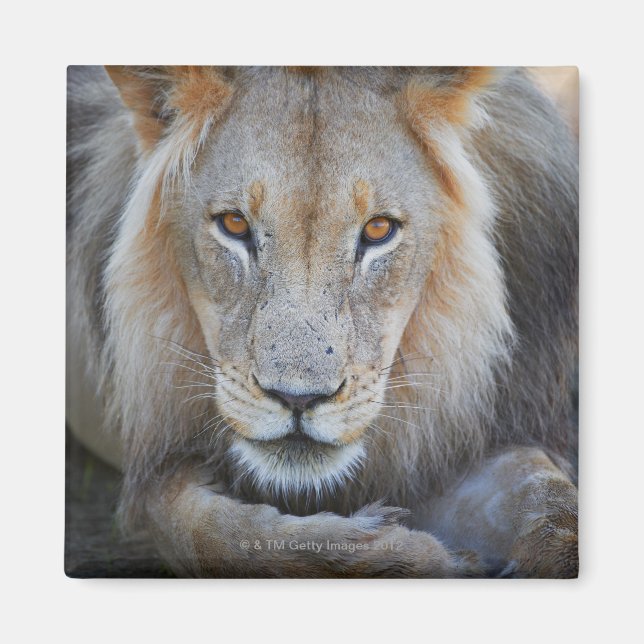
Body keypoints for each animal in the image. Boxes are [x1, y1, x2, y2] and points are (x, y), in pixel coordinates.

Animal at [66, 66, 578, 578]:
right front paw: (406, 554)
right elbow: (217, 536)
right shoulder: (159, 465)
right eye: (234, 224)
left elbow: (553, 506)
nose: (298, 399)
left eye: (378, 230)